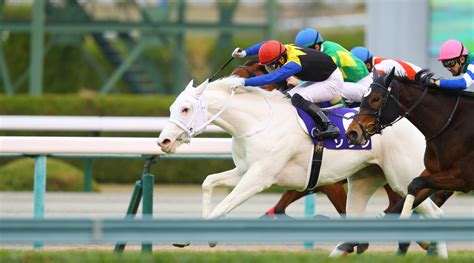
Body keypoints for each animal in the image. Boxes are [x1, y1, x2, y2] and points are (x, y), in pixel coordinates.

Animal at [157, 77, 446, 258]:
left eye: (185, 109)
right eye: (172, 107)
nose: (163, 141)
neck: (257, 122)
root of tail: (413, 122)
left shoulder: (259, 177)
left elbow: (225, 204)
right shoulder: (244, 170)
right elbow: (208, 182)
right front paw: (188, 237)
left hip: (402, 178)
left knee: (434, 212)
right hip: (365, 179)